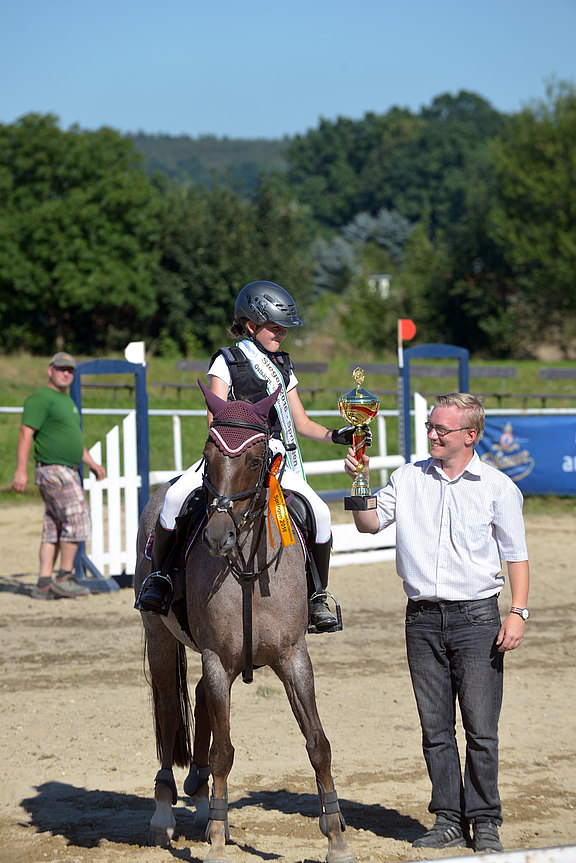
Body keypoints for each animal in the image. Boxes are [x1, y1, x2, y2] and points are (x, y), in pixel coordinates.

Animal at [134, 384, 356, 863]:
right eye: (208, 455)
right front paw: (219, 842)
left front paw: (336, 836)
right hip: (160, 637)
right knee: (168, 712)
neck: (250, 568)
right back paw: (164, 815)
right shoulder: (218, 658)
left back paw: (201, 800)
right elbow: (223, 752)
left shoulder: (292, 658)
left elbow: (318, 744)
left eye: (256, 461)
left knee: (198, 699)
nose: (219, 537)